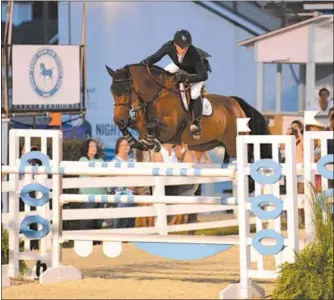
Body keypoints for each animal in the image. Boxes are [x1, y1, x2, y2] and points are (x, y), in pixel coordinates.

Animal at [105, 63, 270, 162]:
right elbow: (134, 126)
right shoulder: (139, 125)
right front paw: (137, 142)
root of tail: (236, 104)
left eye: (127, 90)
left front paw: (150, 144)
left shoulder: (169, 129)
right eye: (111, 91)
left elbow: (152, 125)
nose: (118, 118)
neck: (156, 95)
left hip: (234, 144)